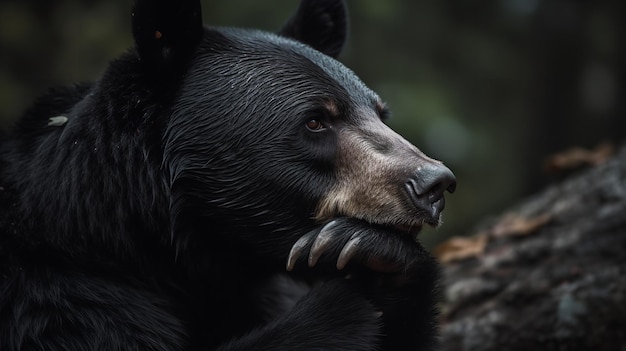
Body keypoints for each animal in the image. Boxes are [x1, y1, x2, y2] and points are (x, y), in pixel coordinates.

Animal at [1, 0, 454, 351]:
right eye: (315, 121)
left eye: (381, 114)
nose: (433, 184)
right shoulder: (62, 299)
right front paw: (343, 285)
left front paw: (372, 252)